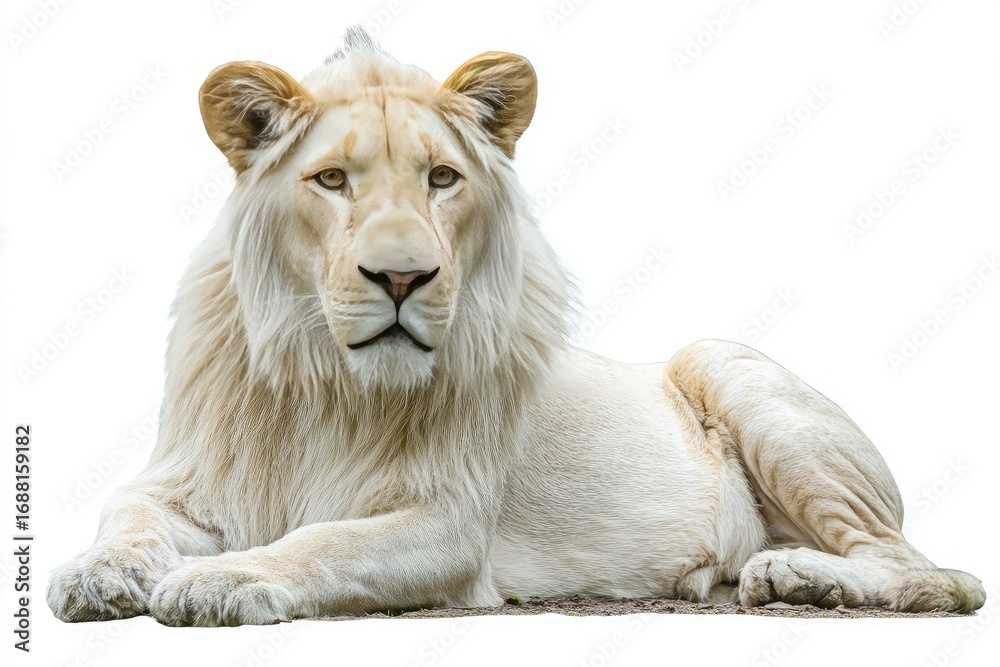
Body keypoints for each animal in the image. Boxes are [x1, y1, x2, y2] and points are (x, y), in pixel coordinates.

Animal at [47, 29, 984, 626]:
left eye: (441, 178)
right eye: (332, 180)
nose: (401, 277)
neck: (324, 376)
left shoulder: (448, 521)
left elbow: (319, 540)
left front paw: (223, 575)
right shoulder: (188, 476)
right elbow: (124, 511)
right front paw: (93, 576)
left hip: (727, 363)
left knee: (934, 574)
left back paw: (798, 576)